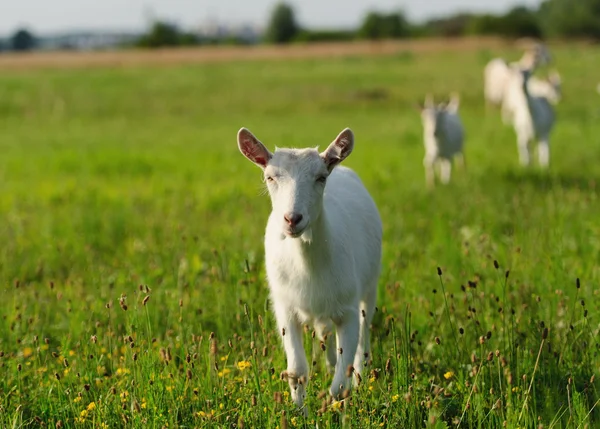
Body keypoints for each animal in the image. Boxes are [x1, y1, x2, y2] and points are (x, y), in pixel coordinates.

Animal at [238, 128, 382, 412]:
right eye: (269, 176)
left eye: (321, 177)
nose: (292, 219)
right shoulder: (285, 308)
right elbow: (297, 371)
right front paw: (300, 412)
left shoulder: (348, 308)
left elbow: (340, 383)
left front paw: (336, 410)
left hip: (369, 286)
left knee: (364, 332)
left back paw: (361, 376)